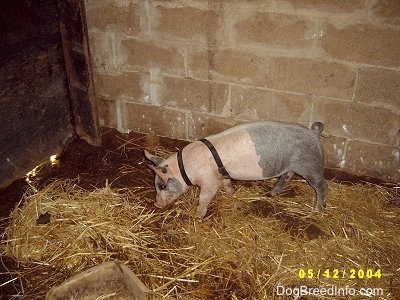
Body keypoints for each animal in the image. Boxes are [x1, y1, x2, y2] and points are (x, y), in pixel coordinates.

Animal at [145, 120, 326, 217]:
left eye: (162, 185)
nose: (156, 204)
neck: (186, 169)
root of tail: (314, 133)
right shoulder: (222, 175)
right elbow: (227, 183)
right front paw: (231, 194)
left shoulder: (209, 182)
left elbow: (204, 198)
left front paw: (198, 215)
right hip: (292, 166)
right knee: (286, 176)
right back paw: (270, 194)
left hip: (311, 166)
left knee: (322, 185)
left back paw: (318, 209)